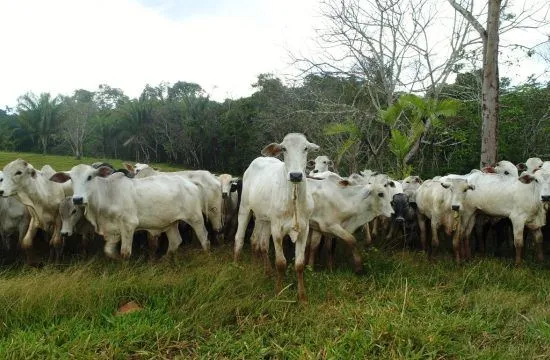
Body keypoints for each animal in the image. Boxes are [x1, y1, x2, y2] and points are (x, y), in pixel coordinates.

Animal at [49, 165, 210, 260]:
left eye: (89, 177)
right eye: (70, 179)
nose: (77, 199)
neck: (107, 194)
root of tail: (191, 183)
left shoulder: (129, 225)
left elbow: (125, 253)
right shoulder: (113, 231)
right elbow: (108, 251)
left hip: (195, 218)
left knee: (204, 239)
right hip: (170, 223)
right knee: (176, 241)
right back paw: (165, 260)